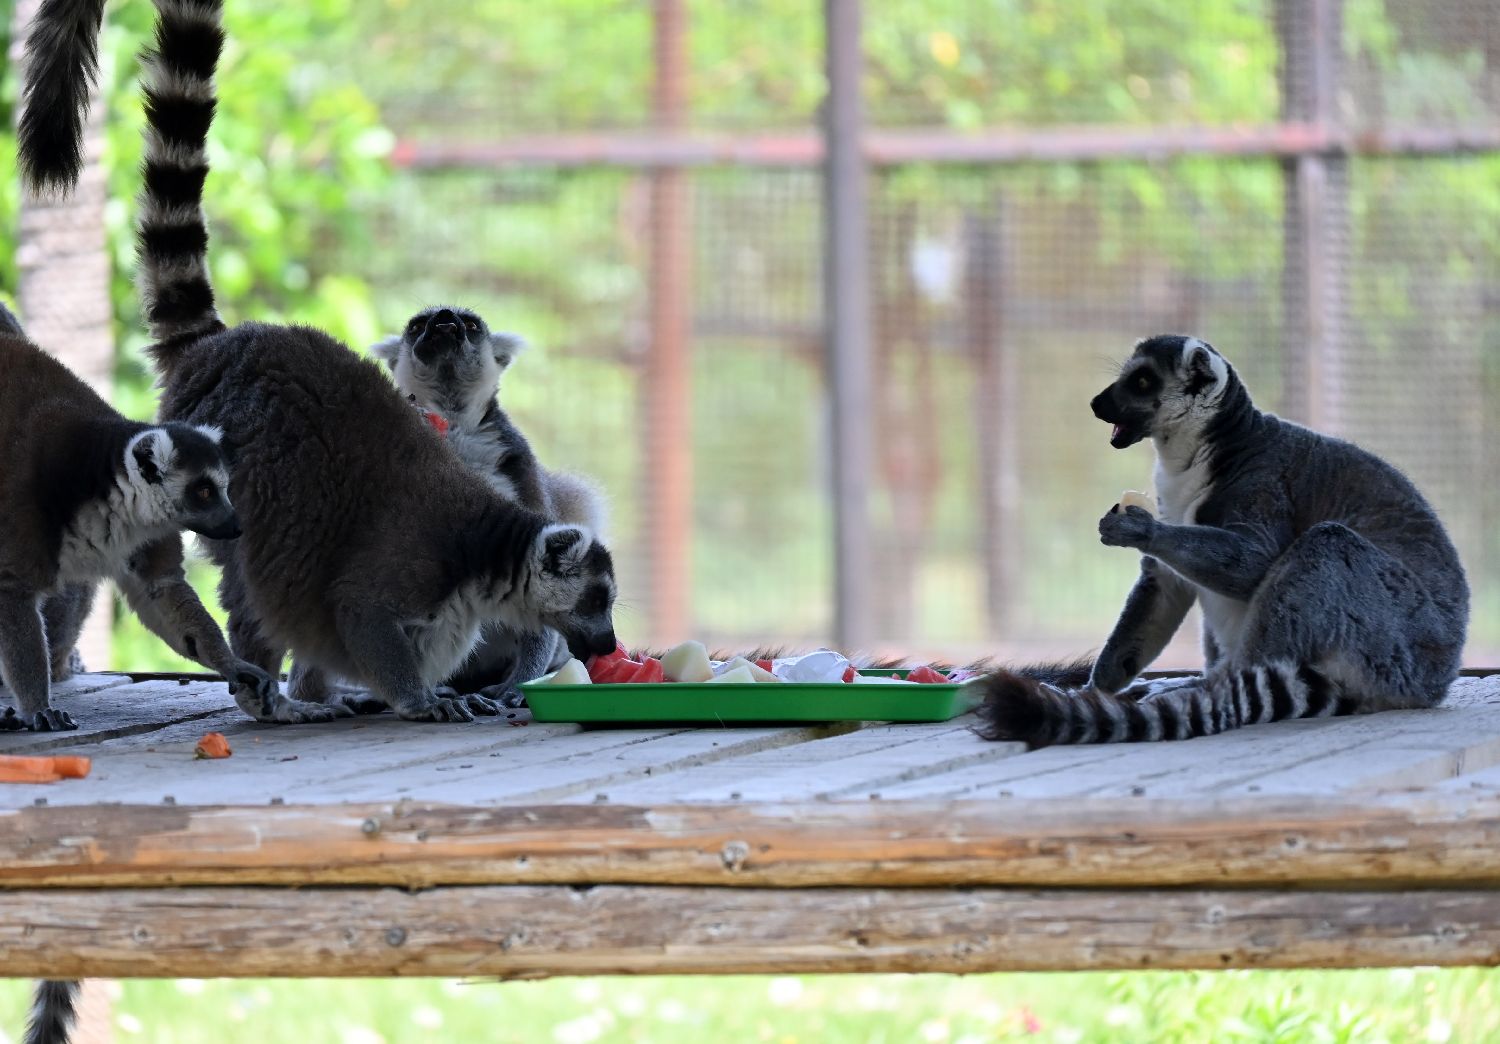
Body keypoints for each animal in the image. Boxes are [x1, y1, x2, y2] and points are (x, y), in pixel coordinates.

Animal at [977, 335, 1469, 747]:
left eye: (1141, 380)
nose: (1097, 403)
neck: (1196, 453)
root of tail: (1437, 678)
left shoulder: (1265, 482)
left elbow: (1255, 561)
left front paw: (1142, 531)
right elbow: (1163, 585)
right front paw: (1096, 688)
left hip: (1398, 635)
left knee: (1327, 546)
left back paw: (1218, 690)